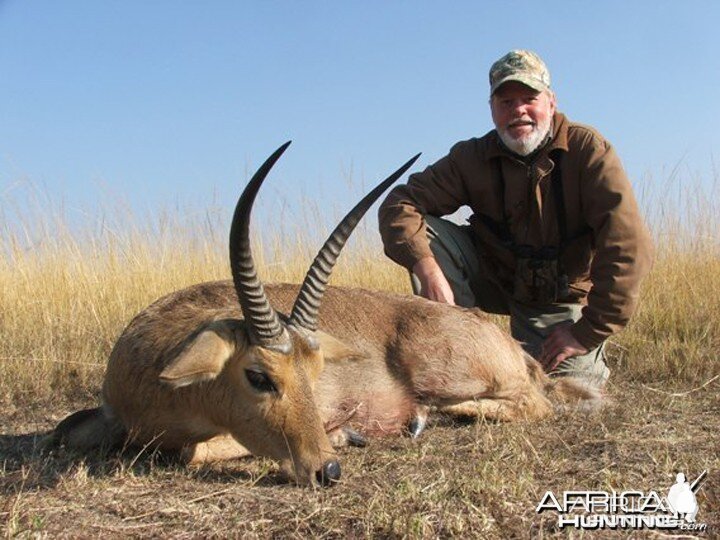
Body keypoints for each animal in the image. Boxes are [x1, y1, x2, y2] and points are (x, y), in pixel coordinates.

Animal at [53, 141, 600, 488]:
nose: (327, 471)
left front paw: (343, 433)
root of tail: (505, 341)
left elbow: (192, 452)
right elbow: (68, 431)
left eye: (314, 373)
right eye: (259, 375)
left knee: (533, 404)